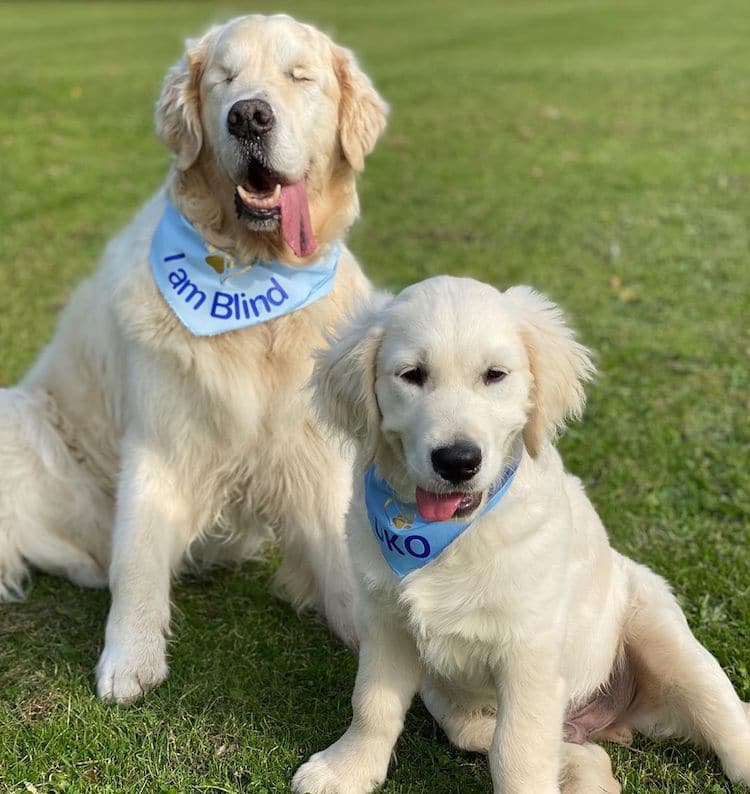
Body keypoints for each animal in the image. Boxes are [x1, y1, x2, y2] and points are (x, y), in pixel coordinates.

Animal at [0, 15, 388, 704]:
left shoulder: (311, 455)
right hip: (19, 417)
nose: (249, 116)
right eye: (224, 80)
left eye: (300, 77)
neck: (251, 280)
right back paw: (88, 565)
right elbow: (138, 554)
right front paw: (128, 659)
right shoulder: (159, 439)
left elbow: (342, 565)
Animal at [296, 274, 750, 792]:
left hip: (664, 634)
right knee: (550, 745)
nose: (457, 460)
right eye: (411, 375)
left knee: (724, 713)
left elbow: (517, 747)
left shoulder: (530, 647)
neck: (447, 535)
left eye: (495, 375)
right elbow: (372, 703)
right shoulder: (384, 621)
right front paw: (347, 768)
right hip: (452, 700)